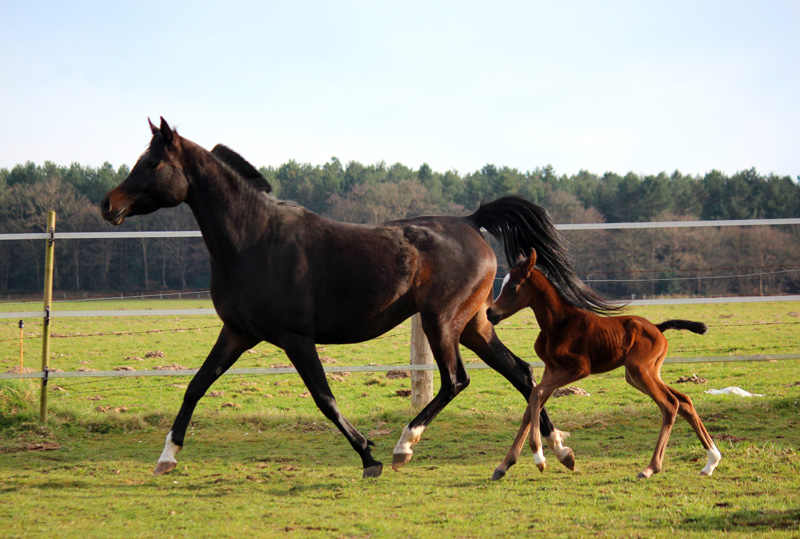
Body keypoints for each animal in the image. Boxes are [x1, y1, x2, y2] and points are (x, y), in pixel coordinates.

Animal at [484, 250, 720, 480]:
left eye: (513, 286)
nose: (490, 313)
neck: (558, 324)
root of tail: (657, 327)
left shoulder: (578, 369)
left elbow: (535, 394)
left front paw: (540, 458)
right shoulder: (551, 369)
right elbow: (532, 403)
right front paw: (504, 465)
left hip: (639, 370)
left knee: (670, 404)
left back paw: (651, 468)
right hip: (641, 374)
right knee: (684, 400)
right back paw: (711, 462)